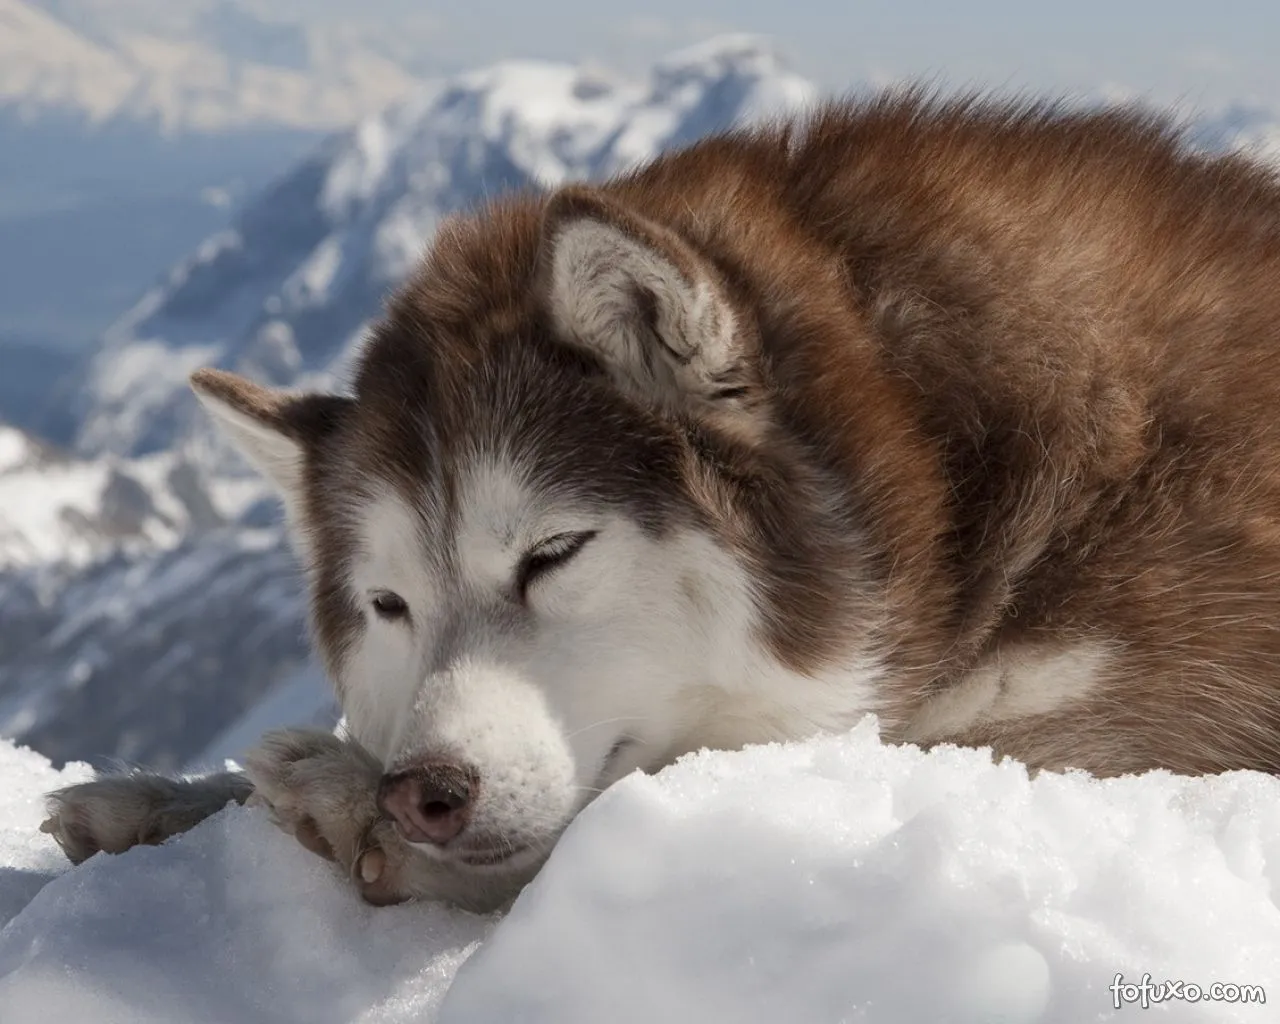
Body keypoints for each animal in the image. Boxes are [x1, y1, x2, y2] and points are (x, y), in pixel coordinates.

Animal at [45, 94, 1280, 911]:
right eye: (388, 606)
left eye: (552, 552)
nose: (421, 794)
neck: (945, 468)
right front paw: (156, 801)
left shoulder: (1125, 743)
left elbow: (614, 813)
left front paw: (337, 802)